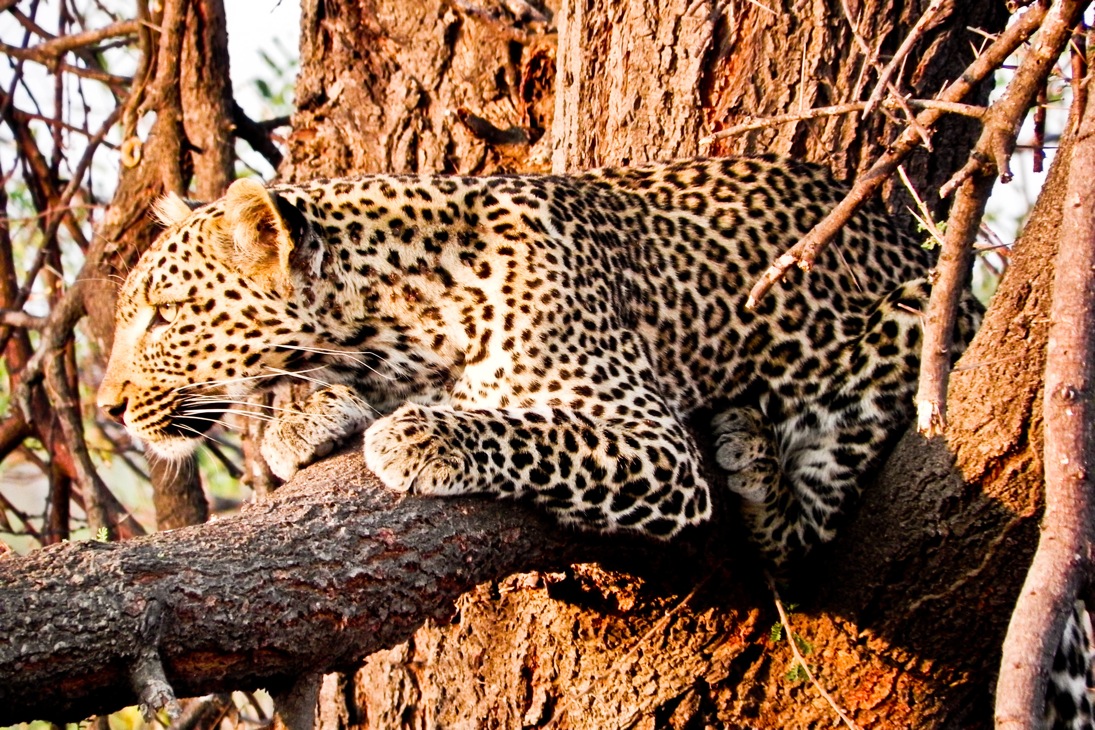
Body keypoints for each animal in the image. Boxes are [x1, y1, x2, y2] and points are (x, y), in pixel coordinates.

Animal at [97, 155, 982, 569]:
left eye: (165, 316)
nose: (107, 409)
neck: (395, 314)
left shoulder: (649, 441)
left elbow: (535, 432)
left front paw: (423, 435)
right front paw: (310, 415)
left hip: (892, 345)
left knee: (802, 541)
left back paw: (754, 461)